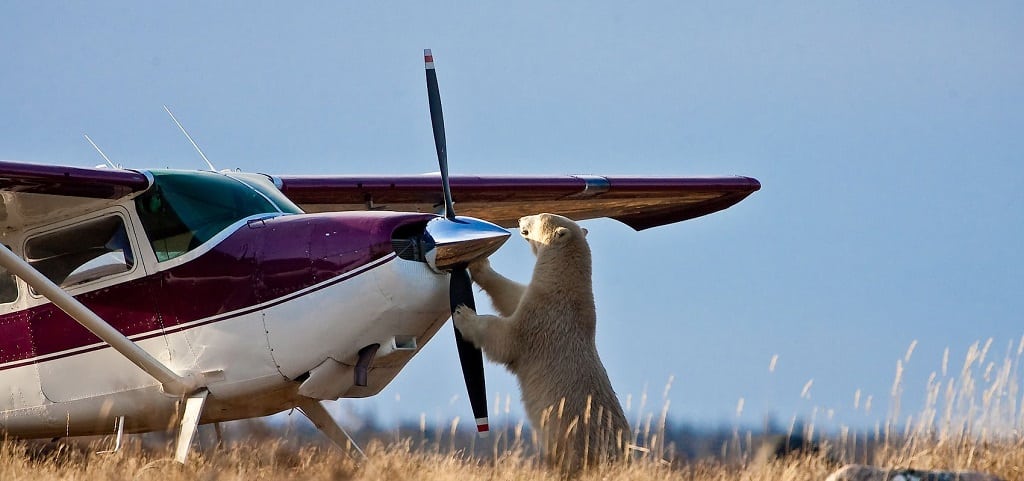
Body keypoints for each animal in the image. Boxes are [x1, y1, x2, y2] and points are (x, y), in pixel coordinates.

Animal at [452, 212, 626, 472]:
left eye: (540, 216)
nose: (520, 218)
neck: (566, 289)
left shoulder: (543, 318)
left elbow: (506, 338)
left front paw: (463, 314)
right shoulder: (536, 298)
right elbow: (511, 295)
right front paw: (479, 264)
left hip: (574, 440)